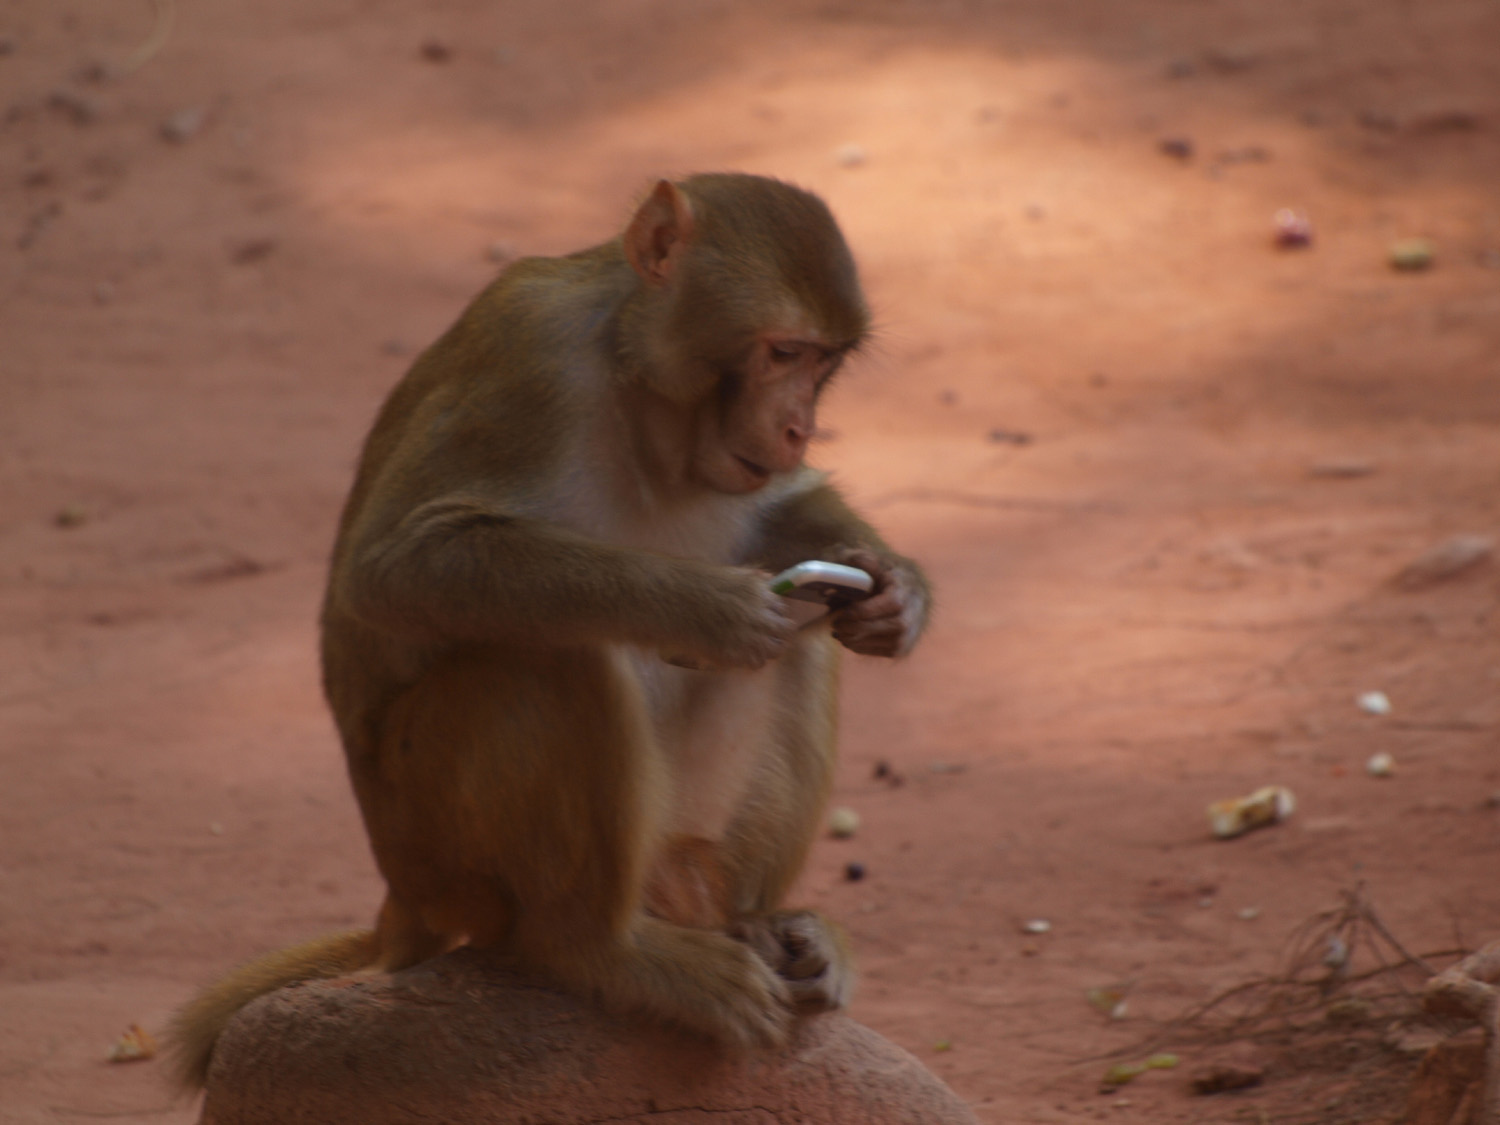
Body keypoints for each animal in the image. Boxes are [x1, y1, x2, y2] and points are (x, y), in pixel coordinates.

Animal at [170, 176, 930, 1092]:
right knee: (545, 654)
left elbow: (787, 518)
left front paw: (898, 592)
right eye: (783, 352)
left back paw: (762, 926)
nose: (798, 429)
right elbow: (394, 566)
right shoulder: (532, 348)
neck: (643, 395)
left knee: (802, 648)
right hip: (437, 841)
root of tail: (403, 896)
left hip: (672, 847)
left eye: (826, 363)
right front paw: (708, 608)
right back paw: (600, 950)